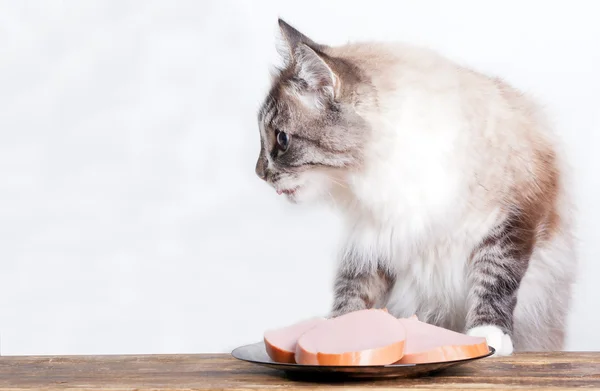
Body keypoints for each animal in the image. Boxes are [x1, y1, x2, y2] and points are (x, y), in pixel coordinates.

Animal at [253, 18, 576, 356]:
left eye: (282, 139)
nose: (258, 173)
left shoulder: (514, 216)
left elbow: (494, 278)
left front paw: (487, 334)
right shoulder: (375, 240)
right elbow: (352, 294)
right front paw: (337, 333)